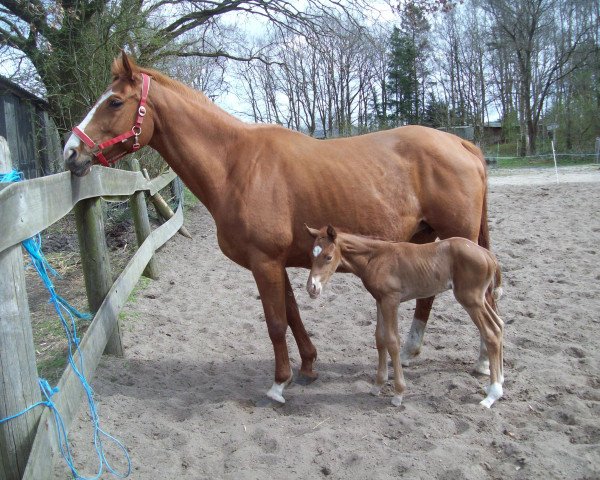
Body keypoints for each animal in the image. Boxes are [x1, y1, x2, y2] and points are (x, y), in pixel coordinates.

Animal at [308, 225, 504, 408]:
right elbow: (380, 338)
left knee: (491, 332)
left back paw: (492, 394)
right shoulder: (380, 300)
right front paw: (377, 385)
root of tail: (488, 255)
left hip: (470, 299)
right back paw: (497, 383)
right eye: (312, 254)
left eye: (328, 257)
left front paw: (398, 393)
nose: (312, 288)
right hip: (479, 299)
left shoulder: (391, 300)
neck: (376, 257)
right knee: (499, 325)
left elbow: (392, 341)